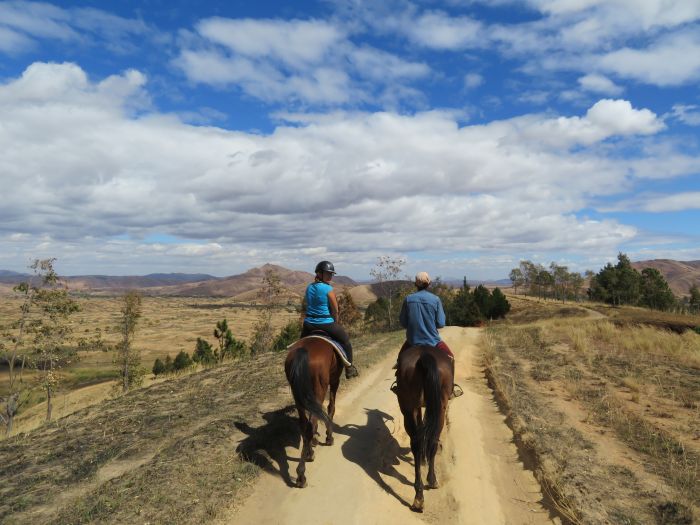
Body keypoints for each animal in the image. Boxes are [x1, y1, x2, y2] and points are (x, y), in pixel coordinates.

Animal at [284, 336, 340, 488]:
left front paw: (315, 441)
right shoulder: (335, 380)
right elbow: (331, 408)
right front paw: (328, 438)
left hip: (298, 395)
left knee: (305, 425)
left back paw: (309, 454)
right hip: (319, 389)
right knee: (311, 424)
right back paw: (301, 475)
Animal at [396, 344, 452, 512]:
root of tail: (424, 355)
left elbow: (421, 429)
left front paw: (422, 458)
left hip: (409, 408)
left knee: (416, 442)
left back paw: (418, 496)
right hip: (439, 409)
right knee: (432, 442)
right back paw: (431, 481)